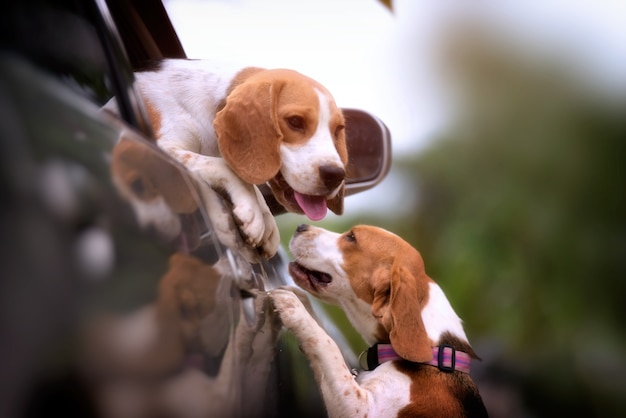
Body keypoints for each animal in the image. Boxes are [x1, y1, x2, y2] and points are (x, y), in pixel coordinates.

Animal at [103, 59, 346, 258]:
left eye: (338, 130)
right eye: (295, 121)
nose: (336, 175)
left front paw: (264, 218)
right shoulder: (163, 147)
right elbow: (222, 167)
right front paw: (250, 212)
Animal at [270, 225, 488, 418]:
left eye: (351, 237)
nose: (301, 226)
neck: (434, 351)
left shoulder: (359, 408)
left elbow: (328, 344)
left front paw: (293, 308)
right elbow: (325, 337)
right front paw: (301, 301)